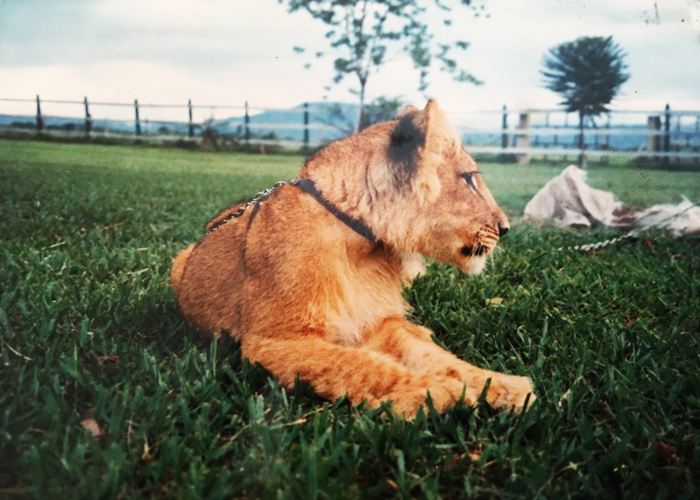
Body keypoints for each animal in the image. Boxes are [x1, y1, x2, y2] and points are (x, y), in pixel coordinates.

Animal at [171, 100, 535, 417]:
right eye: (470, 179)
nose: (505, 228)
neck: (362, 245)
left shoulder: (375, 323)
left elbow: (440, 359)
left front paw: (504, 387)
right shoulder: (271, 341)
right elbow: (358, 365)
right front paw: (438, 393)